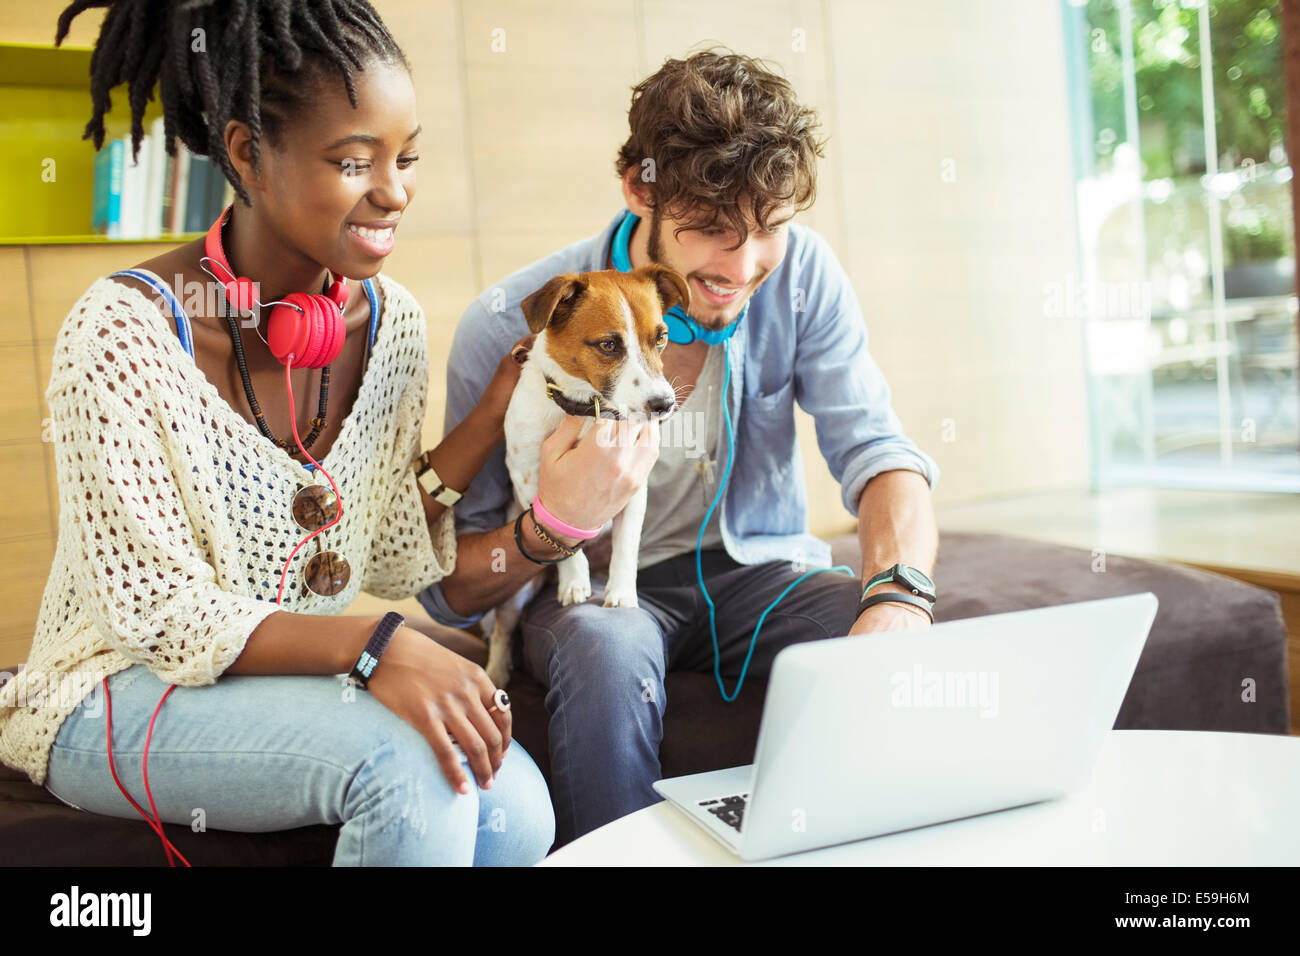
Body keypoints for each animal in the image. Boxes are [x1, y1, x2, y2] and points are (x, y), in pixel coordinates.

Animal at [483, 264, 691, 686]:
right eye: (608, 345)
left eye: (661, 337)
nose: (664, 405)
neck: (586, 409)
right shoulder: (529, 475)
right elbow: (563, 535)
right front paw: (575, 582)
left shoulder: (633, 488)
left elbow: (626, 546)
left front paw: (622, 593)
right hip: (514, 595)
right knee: (502, 630)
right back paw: (496, 672)